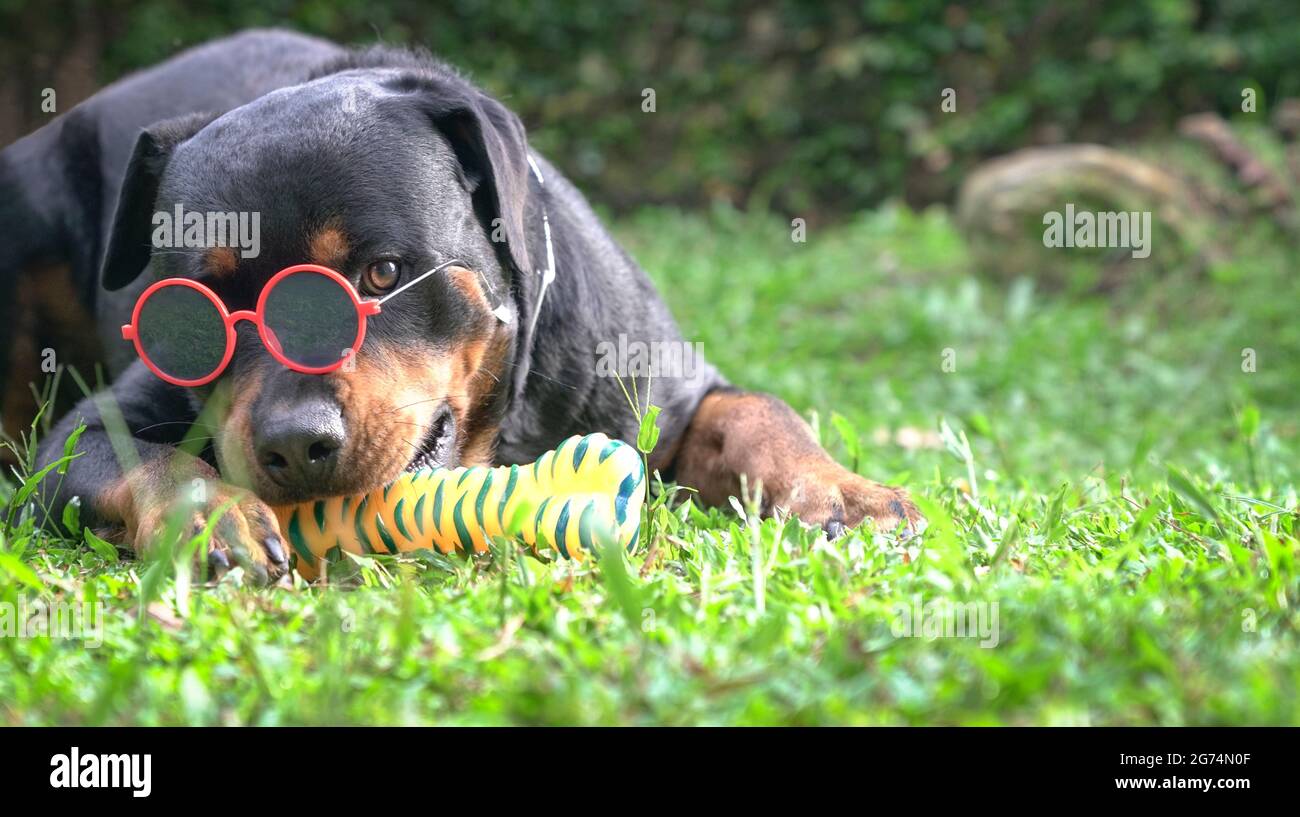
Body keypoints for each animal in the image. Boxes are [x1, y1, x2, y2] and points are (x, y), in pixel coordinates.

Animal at [0, 30, 920, 580]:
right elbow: (132, 454)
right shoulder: (85, 432)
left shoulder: (668, 385)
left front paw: (845, 493)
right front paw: (213, 520)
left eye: (381, 273)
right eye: (196, 313)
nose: (294, 442)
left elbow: (761, 412)